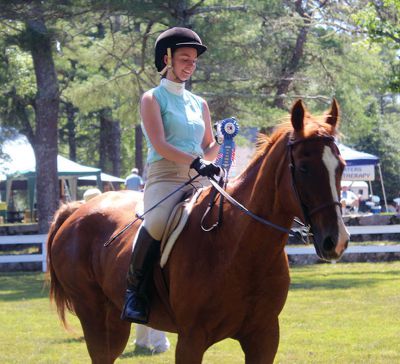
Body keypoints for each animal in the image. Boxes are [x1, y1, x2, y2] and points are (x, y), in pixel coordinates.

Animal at [47, 100, 350, 364]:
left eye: (342, 167)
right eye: (304, 168)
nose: (336, 241)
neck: (240, 248)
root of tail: (75, 211)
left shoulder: (264, 336)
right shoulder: (191, 339)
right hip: (97, 318)